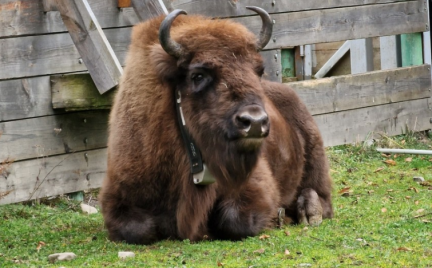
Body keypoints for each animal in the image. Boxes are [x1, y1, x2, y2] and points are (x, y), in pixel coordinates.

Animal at [100, 6, 334, 245]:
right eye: (198, 75)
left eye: (258, 70)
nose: (255, 122)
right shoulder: (118, 194)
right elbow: (137, 229)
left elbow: (234, 220)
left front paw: (278, 217)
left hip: (314, 151)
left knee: (320, 193)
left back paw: (309, 211)